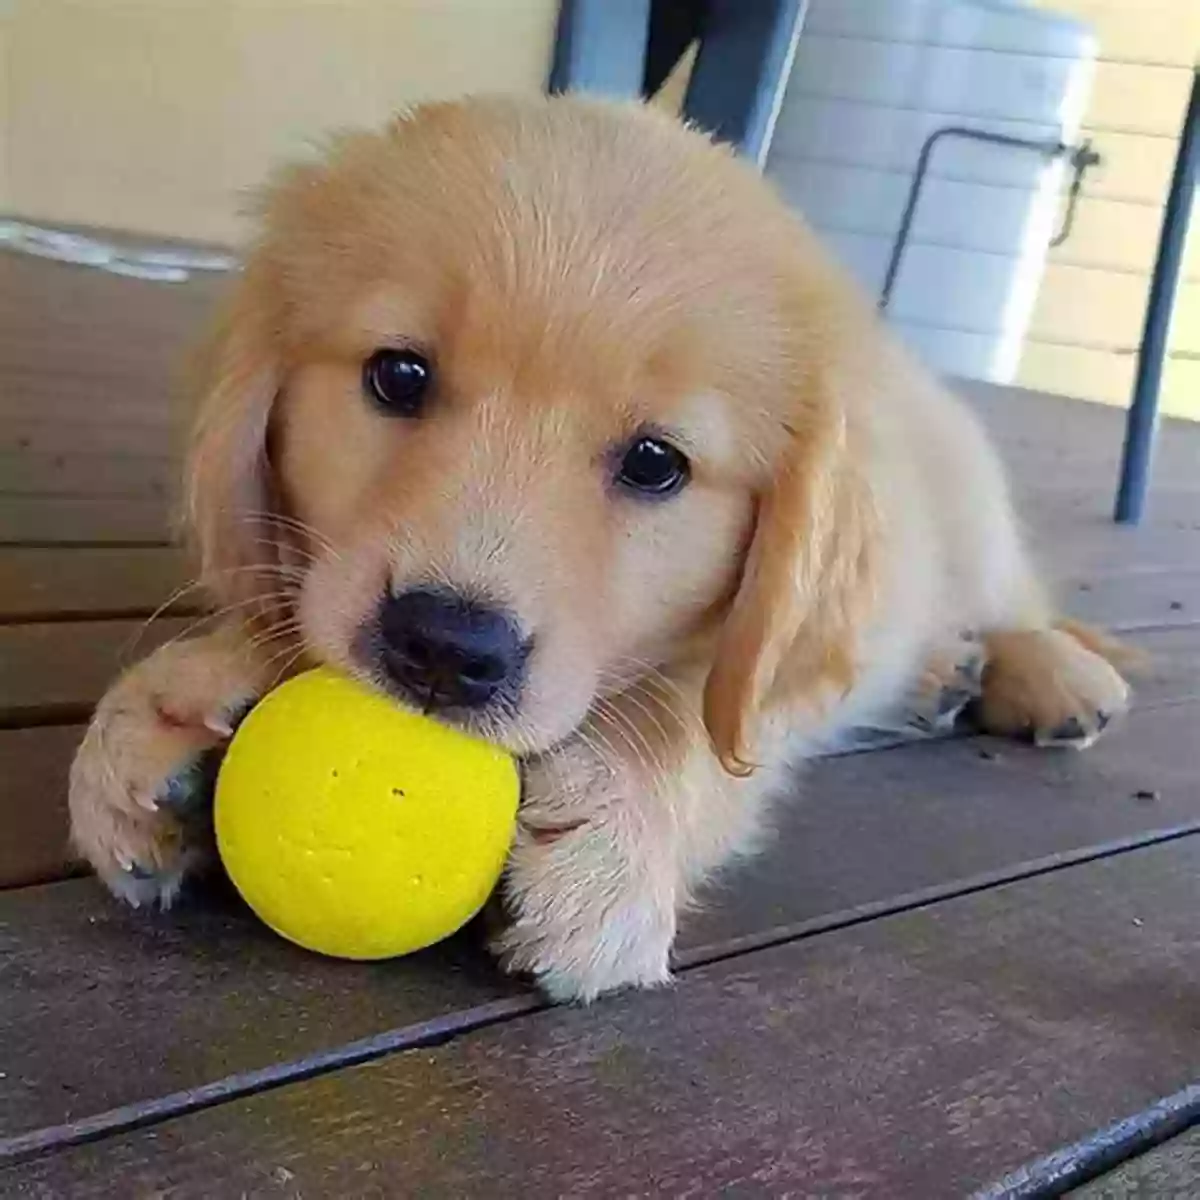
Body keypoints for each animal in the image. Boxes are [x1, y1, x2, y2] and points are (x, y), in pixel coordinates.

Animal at [70, 93, 1128, 998]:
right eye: (398, 375)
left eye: (657, 462)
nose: (444, 650)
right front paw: (181, 699)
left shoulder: (745, 687)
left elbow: (701, 726)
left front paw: (615, 834)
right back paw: (938, 676)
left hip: (968, 504)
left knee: (1011, 602)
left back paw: (1048, 675)